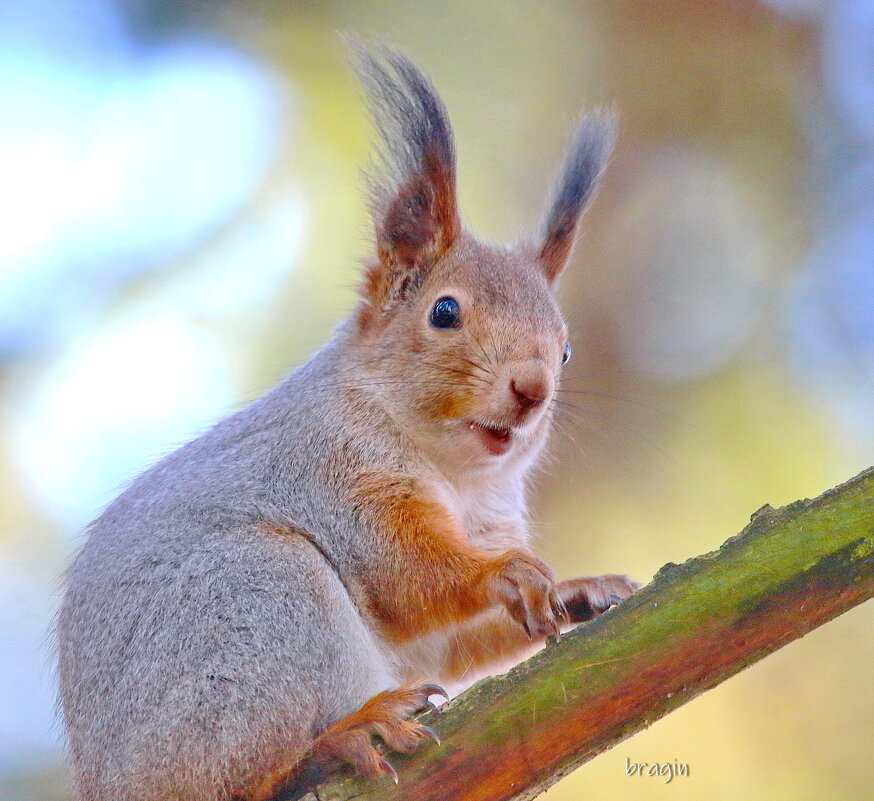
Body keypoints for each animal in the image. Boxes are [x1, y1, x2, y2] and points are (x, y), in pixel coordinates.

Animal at [58, 43, 636, 800]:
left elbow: (453, 642)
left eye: (565, 349)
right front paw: (501, 573)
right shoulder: (334, 475)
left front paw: (576, 592)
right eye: (444, 312)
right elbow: (405, 572)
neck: (456, 472)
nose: (533, 388)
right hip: (254, 605)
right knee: (249, 771)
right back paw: (346, 733)